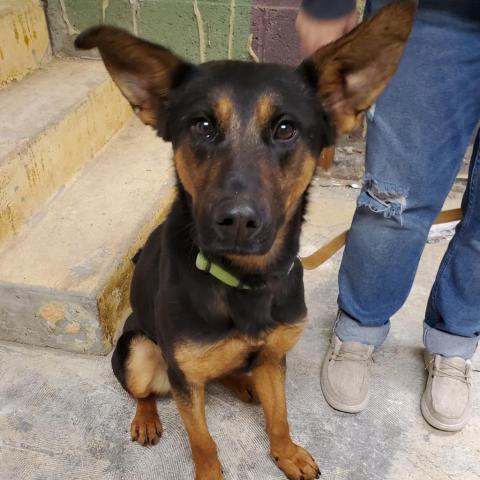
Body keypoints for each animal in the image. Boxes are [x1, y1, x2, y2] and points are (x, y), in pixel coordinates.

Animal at [77, 1, 414, 478]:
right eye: (202, 125)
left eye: (286, 129)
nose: (236, 221)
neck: (246, 281)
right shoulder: (184, 379)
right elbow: (202, 441)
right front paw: (210, 471)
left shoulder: (274, 358)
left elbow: (280, 417)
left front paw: (287, 453)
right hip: (139, 352)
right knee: (143, 391)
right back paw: (146, 419)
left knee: (230, 370)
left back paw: (243, 382)